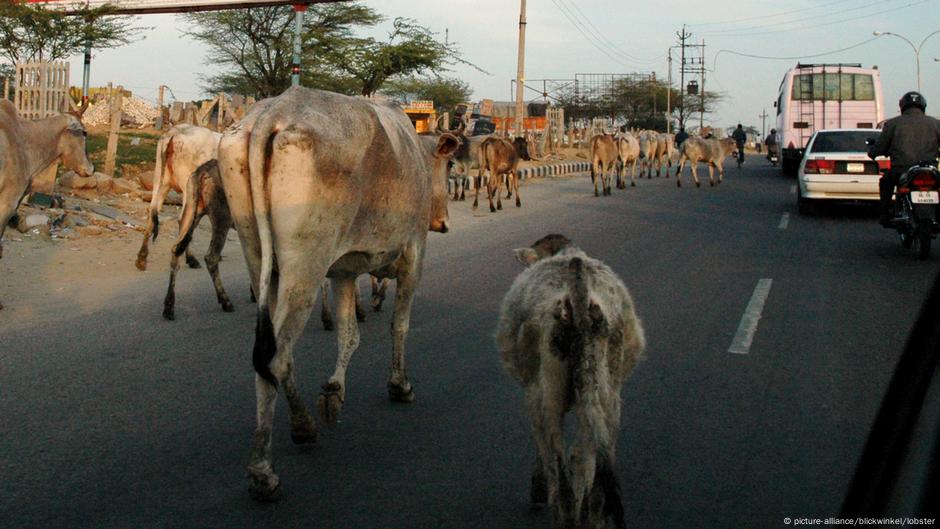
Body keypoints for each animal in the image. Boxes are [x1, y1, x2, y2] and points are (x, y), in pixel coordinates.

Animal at [136, 124, 222, 272]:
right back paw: (191, 258)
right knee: (184, 219)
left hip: (161, 181)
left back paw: (142, 258)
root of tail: (174, 132)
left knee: (152, 211)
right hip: (187, 186)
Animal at [217, 86, 458, 500]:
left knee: (277, 354)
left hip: (259, 255)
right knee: (276, 356)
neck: (417, 154)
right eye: (451, 167)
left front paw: (334, 391)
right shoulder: (414, 255)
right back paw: (264, 470)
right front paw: (399, 385)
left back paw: (303, 425)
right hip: (305, 267)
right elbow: (399, 326)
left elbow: (349, 335)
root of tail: (274, 112)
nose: (443, 222)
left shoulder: (344, 272)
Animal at [500, 234, 648, 528]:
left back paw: (564, 512)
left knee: (559, 464)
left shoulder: (531, 391)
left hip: (547, 392)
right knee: (589, 458)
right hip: (605, 391)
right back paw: (593, 516)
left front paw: (537, 488)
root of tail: (580, 298)